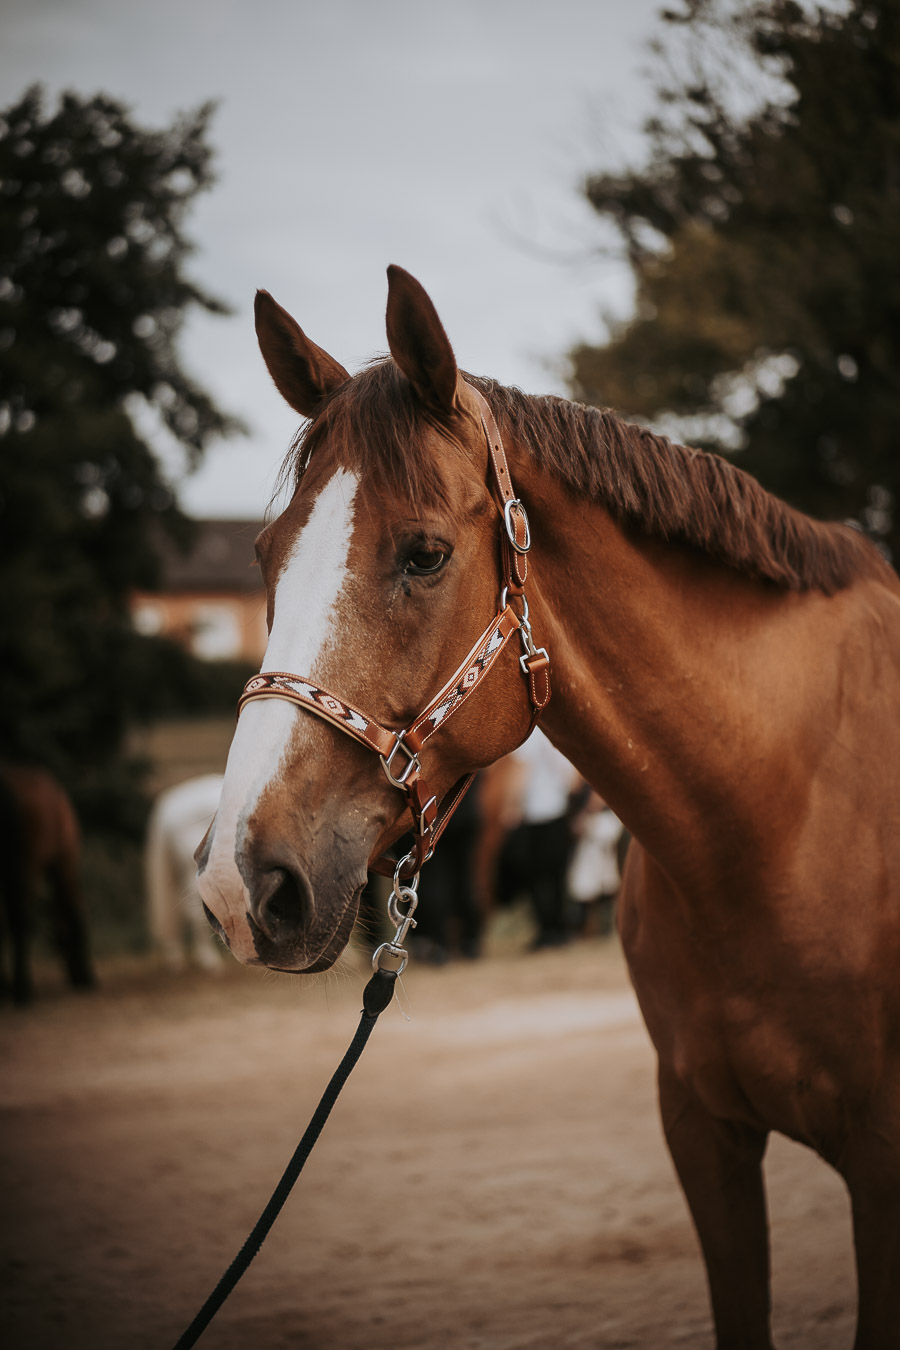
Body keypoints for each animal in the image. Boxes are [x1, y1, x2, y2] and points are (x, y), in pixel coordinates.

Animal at [0, 763, 96, 1004]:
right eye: (58, 945)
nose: (75, 975)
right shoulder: (63, 862)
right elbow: (75, 912)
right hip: (34, 865)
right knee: (21, 920)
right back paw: (21, 989)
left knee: (17, 920)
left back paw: (16, 988)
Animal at [197, 266, 900, 1349]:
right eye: (270, 556)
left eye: (424, 554)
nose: (243, 882)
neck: (783, 818)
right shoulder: (704, 1137)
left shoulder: (882, 1167)